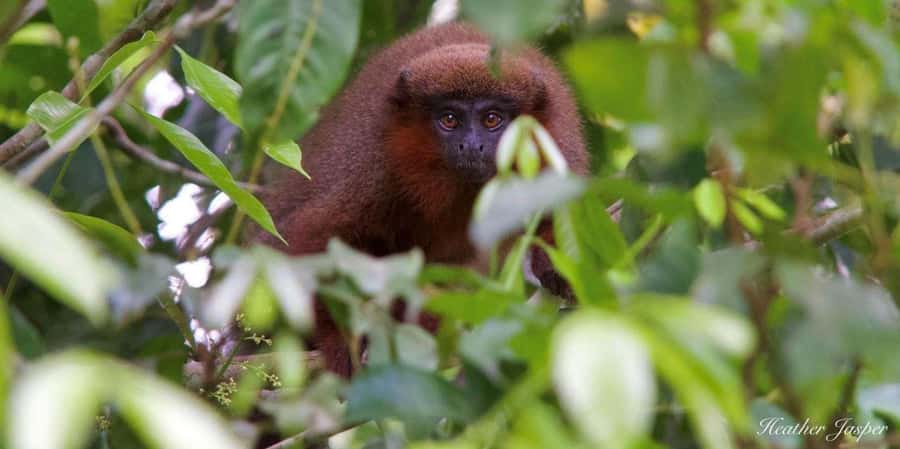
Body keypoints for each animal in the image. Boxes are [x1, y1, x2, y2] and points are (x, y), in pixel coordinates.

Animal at [255, 22, 589, 377]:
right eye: (450, 120)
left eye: (492, 119)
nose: (471, 146)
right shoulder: (373, 162)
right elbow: (309, 239)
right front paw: (342, 338)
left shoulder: (556, 146)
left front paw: (554, 266)